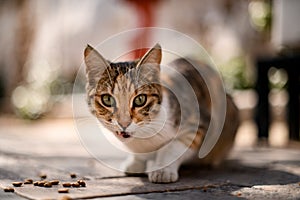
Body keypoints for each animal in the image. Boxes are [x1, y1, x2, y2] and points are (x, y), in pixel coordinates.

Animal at [84, 43, 239, 183]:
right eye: (107, 99)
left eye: (140, 99)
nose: (124, 123)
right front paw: (136, 162)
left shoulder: (197, 122)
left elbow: (173, 146)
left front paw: (162, 170)